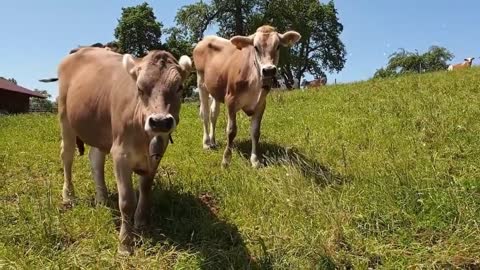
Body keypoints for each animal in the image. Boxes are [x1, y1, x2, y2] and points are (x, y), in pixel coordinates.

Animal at [54, 47, 193, 255]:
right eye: (140, 88)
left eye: (179, 87)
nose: (160, 121)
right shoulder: (120, 154)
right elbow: (127, 201)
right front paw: (125, 243)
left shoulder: (156, 155)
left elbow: (145, 188)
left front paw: (141, 223)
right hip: (65, 118)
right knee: (67, 155)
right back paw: (68, 196)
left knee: (95, 160)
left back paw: (102, 199)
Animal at [192, 25, 300, 169]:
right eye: (255, 47)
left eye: (278, 46)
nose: (269, 70)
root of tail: (206, 39)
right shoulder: (230, 100)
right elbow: (231, 131)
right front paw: (226, 160)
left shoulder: (261, 104)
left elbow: (255, 132)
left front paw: (255, 160)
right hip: (201, 82)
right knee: (204, 113)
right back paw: (206, 142)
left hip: (216, 89)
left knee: (213, 114)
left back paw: (213, 141)